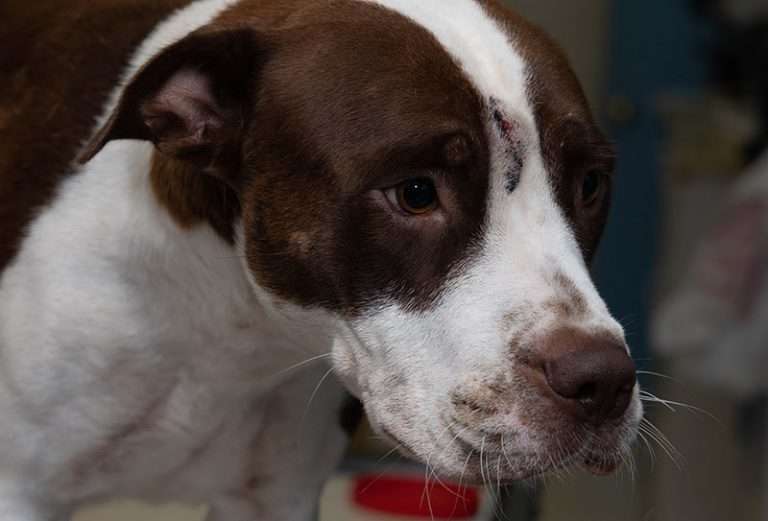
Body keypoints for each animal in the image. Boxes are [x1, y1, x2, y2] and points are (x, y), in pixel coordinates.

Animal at [0, 0, 640, 516]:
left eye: (590, 184)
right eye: (416, 192)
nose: (603, 381)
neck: (230, 326)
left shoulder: (275, 495)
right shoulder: (21, 489)